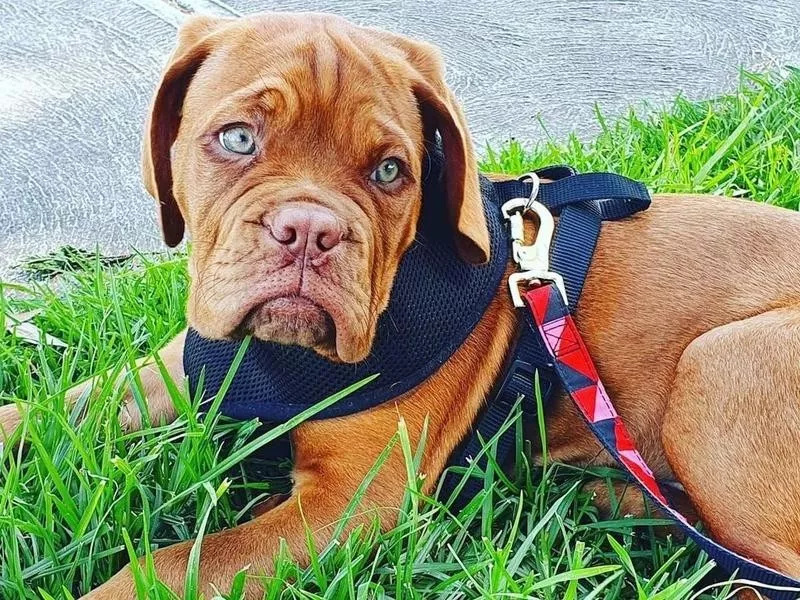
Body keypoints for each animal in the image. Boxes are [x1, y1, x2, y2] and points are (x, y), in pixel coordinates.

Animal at [1, 10, 800, 600]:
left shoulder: (348, 502)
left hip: (721, 364)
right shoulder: (180, 367)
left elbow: (167, 565)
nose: (310, 232)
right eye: (236, 138)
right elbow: (52, 408)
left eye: (391, 172)